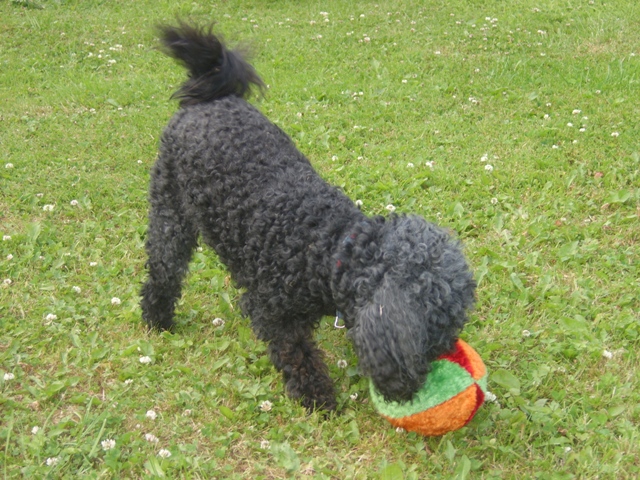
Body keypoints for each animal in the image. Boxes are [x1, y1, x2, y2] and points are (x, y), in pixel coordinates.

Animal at [142, 23, 478, 412]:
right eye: (439, 326)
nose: (449, 352)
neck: (327, 243)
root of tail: (208, 95)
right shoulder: (278, 317)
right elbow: (299, 357)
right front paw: (318, 398)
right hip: (170, 215)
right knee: (164, 270)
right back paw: (157, 319)